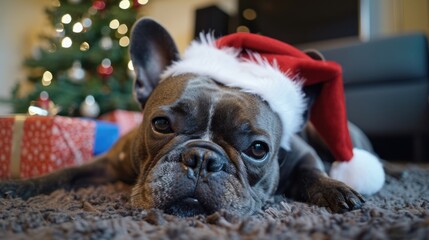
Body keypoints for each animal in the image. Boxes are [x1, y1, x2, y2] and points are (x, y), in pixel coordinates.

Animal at [0, 17, 382, 217]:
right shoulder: (105, 164)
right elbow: (64, 173)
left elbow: (312, 172)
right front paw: (19, 185)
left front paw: (336, 190)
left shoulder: (303, 154)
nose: (201, 158)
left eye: (258, 149)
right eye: (161, 124)